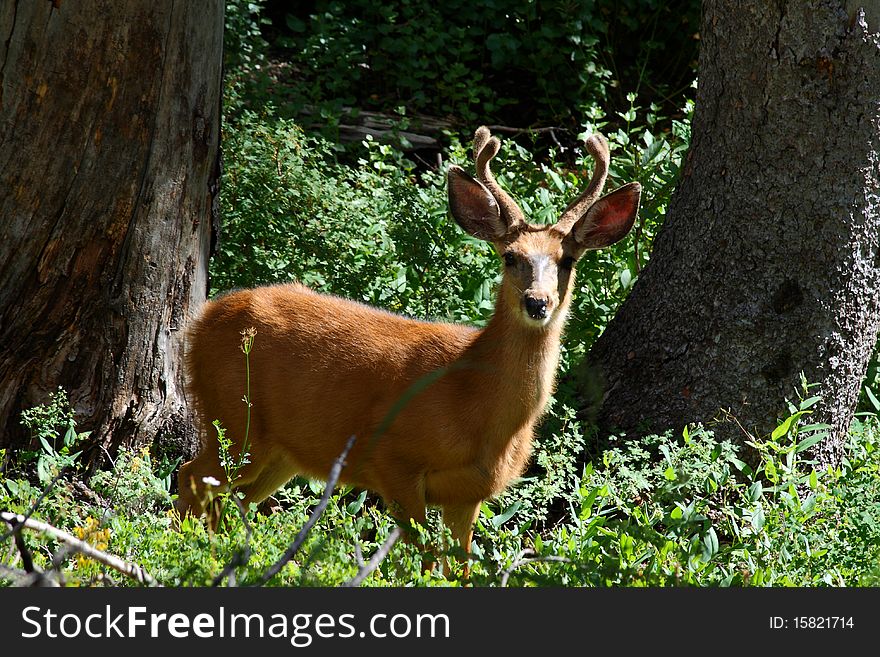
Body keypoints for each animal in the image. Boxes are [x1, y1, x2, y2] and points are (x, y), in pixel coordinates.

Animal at [177, 127, 640, 576]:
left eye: (567, 261)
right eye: (511, 257)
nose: (537, 302)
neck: (475, 402)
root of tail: (200, 322)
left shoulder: (468, 493)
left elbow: (458, 569)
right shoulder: (392, 458)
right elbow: (425, 560)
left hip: (280, 453)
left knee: (229, 499)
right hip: (235, 419)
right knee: (191, 478)